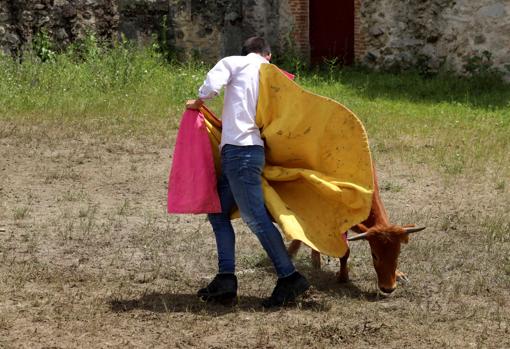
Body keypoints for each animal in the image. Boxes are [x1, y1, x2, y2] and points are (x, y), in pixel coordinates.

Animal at [286, 164, 426, 292]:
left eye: (398, 254)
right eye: (374, 255)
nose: (388, 288)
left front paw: (399, 274)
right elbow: (345, 251)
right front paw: (343, 276)